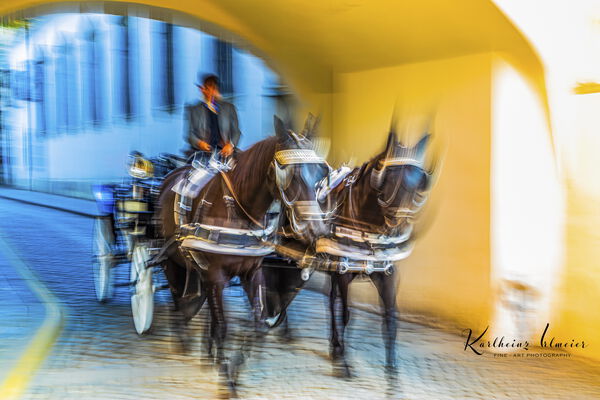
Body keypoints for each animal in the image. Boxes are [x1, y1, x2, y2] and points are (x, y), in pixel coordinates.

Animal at [157, 115, 330, 390]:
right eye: (289, 173)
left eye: (322, 173)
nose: (317, 229)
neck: (238, 211)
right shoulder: (214, 274)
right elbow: (222, 326)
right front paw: (226, 374)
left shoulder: (252, 272)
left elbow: (258, 323)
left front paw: (233, 366)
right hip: (172, 259)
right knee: (177, 296)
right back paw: (183, 336)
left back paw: (207, 350)